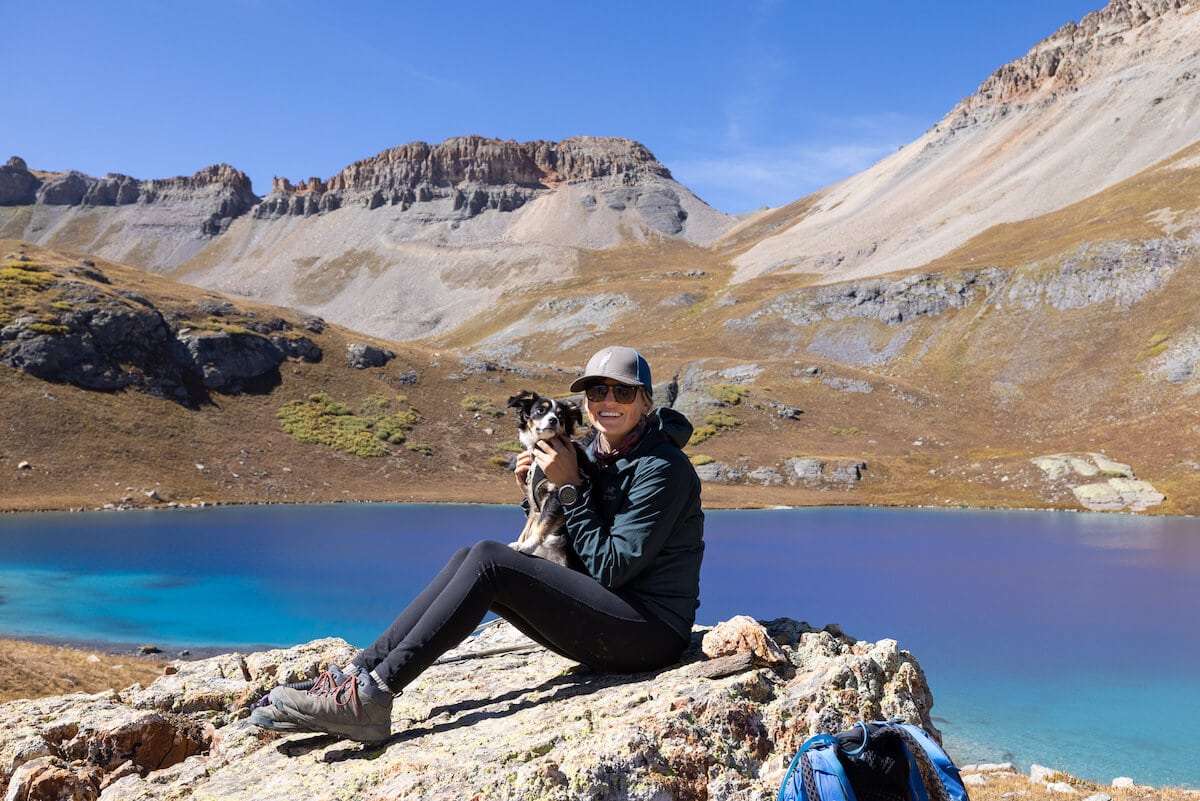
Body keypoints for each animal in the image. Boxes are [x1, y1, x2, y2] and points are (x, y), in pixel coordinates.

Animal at [501, 388, 585, 568]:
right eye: (540, 410)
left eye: (560, 415)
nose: (553, 420)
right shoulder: (534, 501)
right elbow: (530, 525)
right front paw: (520, 543)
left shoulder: (556, 494)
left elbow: (543, 523)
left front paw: (528, 545)